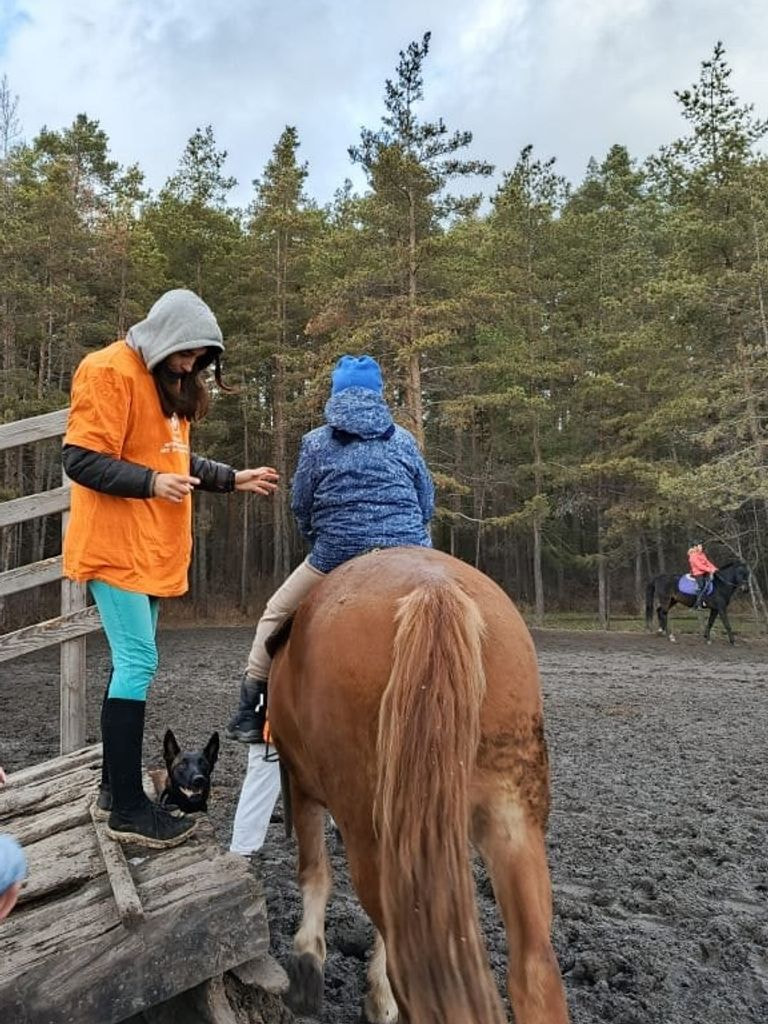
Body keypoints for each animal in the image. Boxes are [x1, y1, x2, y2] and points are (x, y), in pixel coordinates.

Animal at [268, 552, 569, 1024]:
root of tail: (436, 590)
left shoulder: (301, 787)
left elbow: (314, 872)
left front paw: (307, 969)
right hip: (513, 821)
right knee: (535, 972)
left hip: (372, 833)